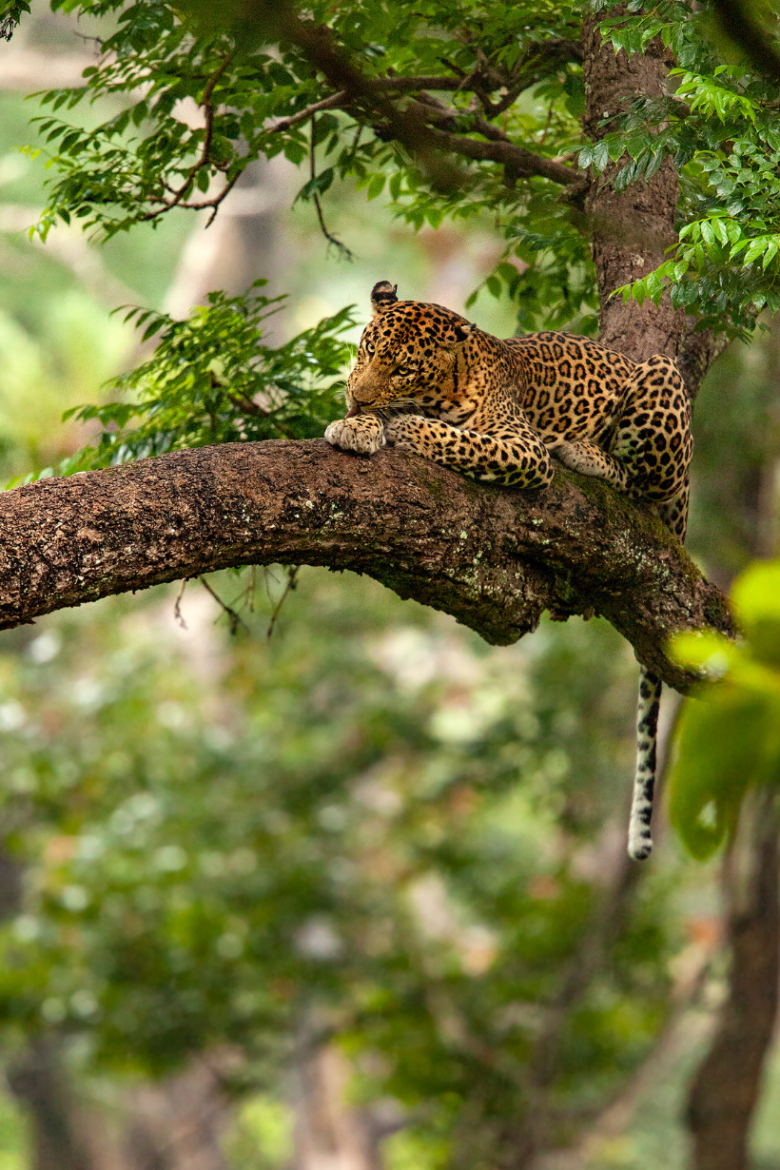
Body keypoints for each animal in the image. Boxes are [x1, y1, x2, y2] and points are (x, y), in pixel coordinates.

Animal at [327, 277, 692, 856]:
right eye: (365, 351)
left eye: (402, 367)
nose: (356, 394)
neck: (443, 388)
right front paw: (358, 424)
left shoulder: (522, 448)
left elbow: (458, 440)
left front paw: (402, 425)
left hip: (662, 387)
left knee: (642, 485)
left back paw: (586, 454)